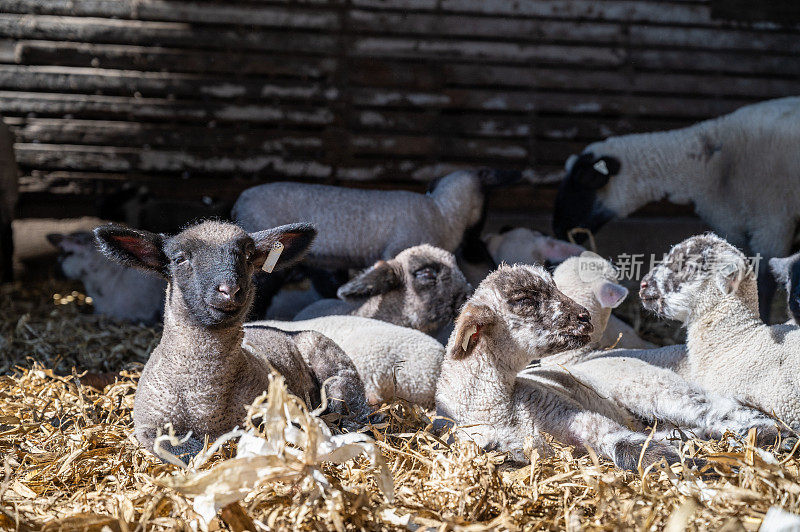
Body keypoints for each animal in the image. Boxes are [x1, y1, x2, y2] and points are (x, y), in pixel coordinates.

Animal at [552, 96, 800, 320]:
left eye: (582, 183)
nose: (557, 232)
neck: (711, 165)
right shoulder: (731, 223)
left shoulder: (773, 221)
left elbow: (764, 282)